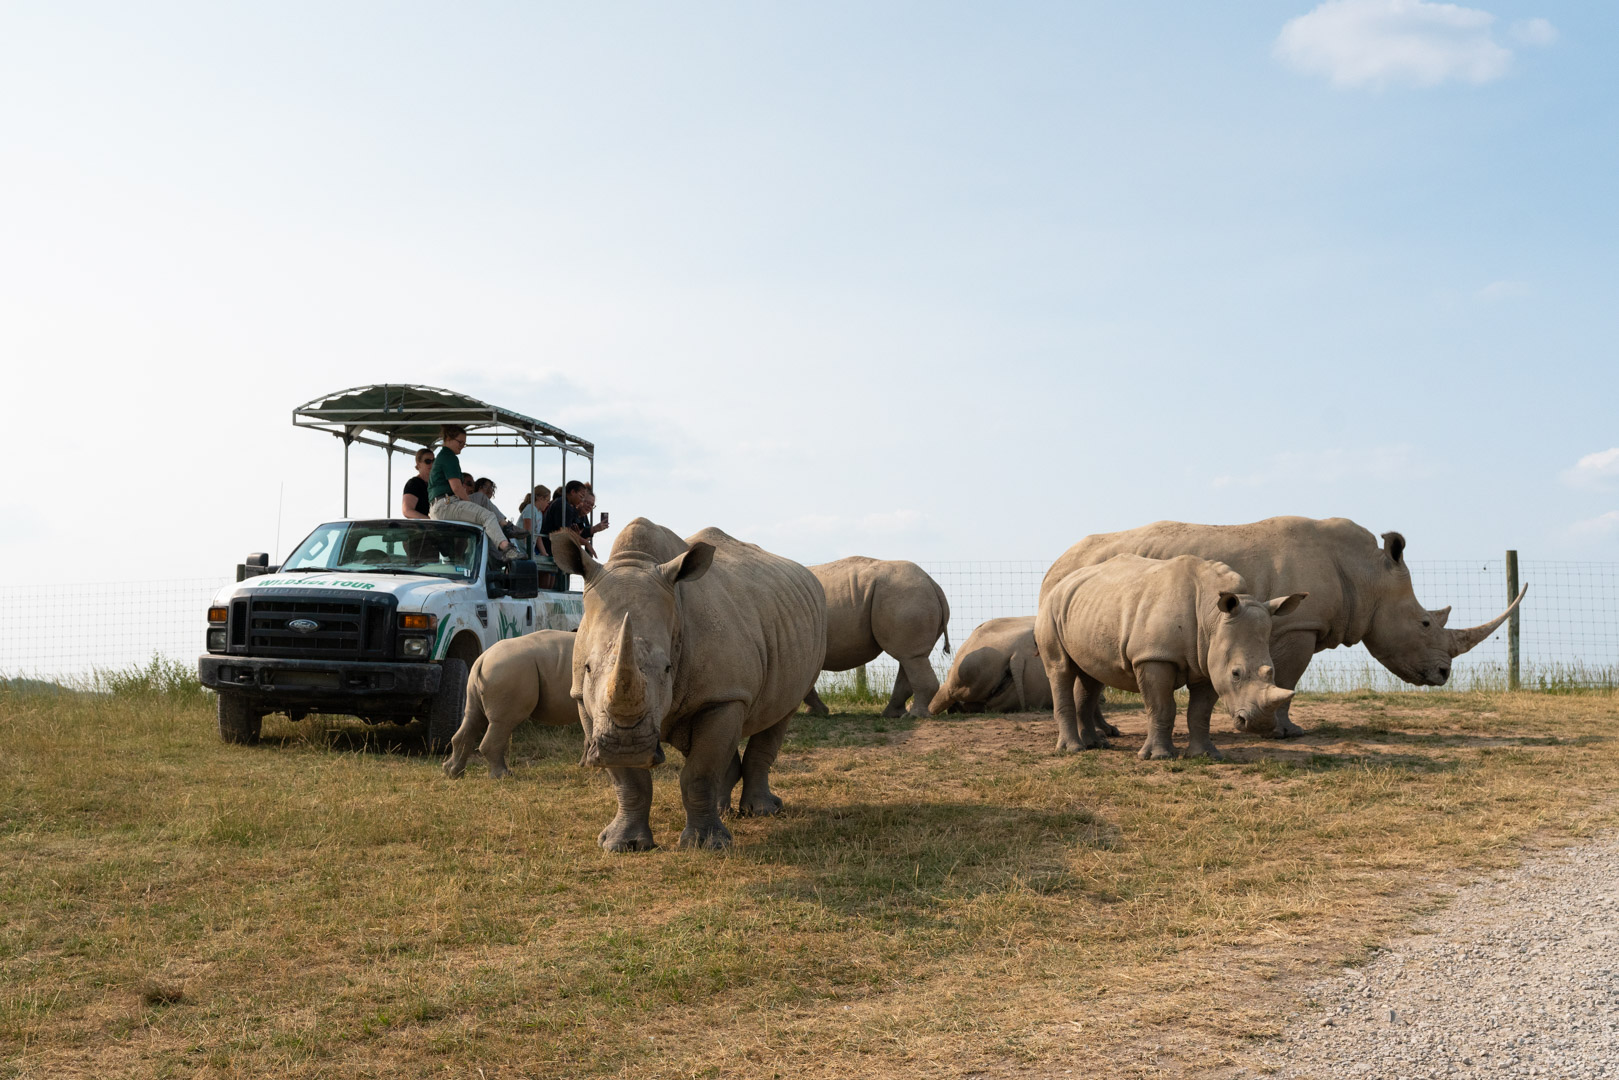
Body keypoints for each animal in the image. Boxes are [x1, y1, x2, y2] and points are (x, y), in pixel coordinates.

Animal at [443, 634, 576, 777]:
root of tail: (483, 658)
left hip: (481, 676)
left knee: (473, 718)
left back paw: (452, 773)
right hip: (507, 671)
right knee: (503, 722)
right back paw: (503, 775)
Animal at [547, 521, 822, 854]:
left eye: (667, 668)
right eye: (587, 668)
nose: (627, 747)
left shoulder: (723, 695)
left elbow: (699, 773)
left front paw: (706, 845)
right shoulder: (583, 700)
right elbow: (629, 781)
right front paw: (622, 844)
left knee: (780, 715)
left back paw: (763, 812)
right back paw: (724, 811)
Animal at [799, 557, 945, 718]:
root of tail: (932, 584)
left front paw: (813, 712)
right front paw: (816, 712)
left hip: (906, 596)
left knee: (911, 657)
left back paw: (913, 716)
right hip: (910, 595)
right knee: (909, 658)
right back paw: (892, 715)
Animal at [1036, 557, 1301, 761]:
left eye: (1271, 671)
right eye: (1236, 674)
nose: (1260, 725)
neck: (1212, 617)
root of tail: (1059, 583)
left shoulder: (1208, 663)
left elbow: (1200, 712)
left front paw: (1205, 755)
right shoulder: (1154, 657)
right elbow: (1161, 707)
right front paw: (1159, 757)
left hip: (1088, 609)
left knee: (1091, 675)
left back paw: (1096, 745)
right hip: (1050, 609)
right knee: (1060, 669)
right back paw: (1073, 750)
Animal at [1042, 518, 1521, 738]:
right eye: (1424, 623)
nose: (1444, 674)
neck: (1367, 573)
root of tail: (1055, 564)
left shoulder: (1293, 624)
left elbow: (1284, 679)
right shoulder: (1297, 625)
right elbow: (1289, 678)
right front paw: (1286, 731)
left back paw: (1106, 733)